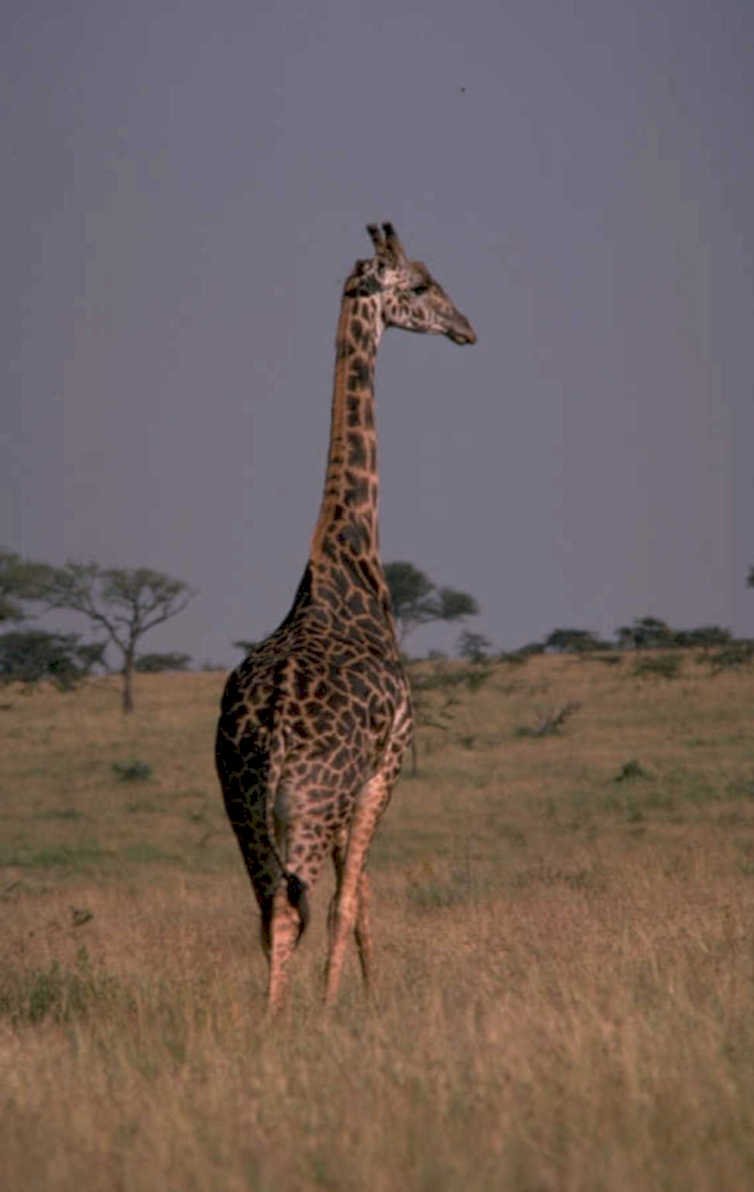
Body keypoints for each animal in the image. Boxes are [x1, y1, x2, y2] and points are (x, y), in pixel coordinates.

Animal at [215, 223, 476, 1012]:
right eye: (420, 285)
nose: (466, 328)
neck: (346, 563)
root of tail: (266, 732)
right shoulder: (386, 764)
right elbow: (349, 901)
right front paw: (344, 1005)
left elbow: (357, 905)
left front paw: (363, 991)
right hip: (310, 805)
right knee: (295, 907)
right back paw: (294, 1017)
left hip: (243, 808)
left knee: (267, 907)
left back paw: (272, 1018)